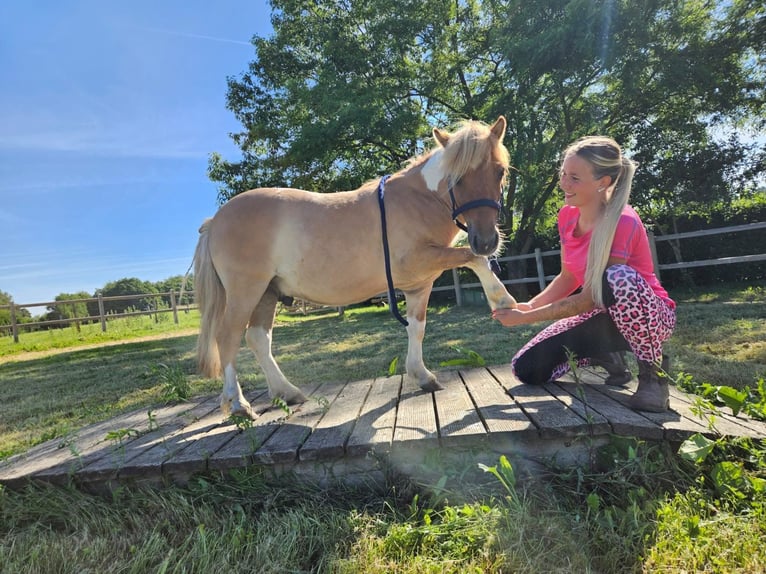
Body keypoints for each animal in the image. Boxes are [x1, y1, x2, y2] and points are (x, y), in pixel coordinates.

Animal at [194, 116, 517, 419]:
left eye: (499, 172)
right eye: (456, 178)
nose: (486, 241)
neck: (418, 201)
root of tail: (216, 220)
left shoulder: (419, 284)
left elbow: (417, 328)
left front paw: (422, 375)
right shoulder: (421, 260)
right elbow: (473, 259)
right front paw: (502, 300)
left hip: (267, 293)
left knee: (258, 338)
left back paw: (288, 392)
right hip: (246, 290)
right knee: (228, 337)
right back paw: (238, 404)